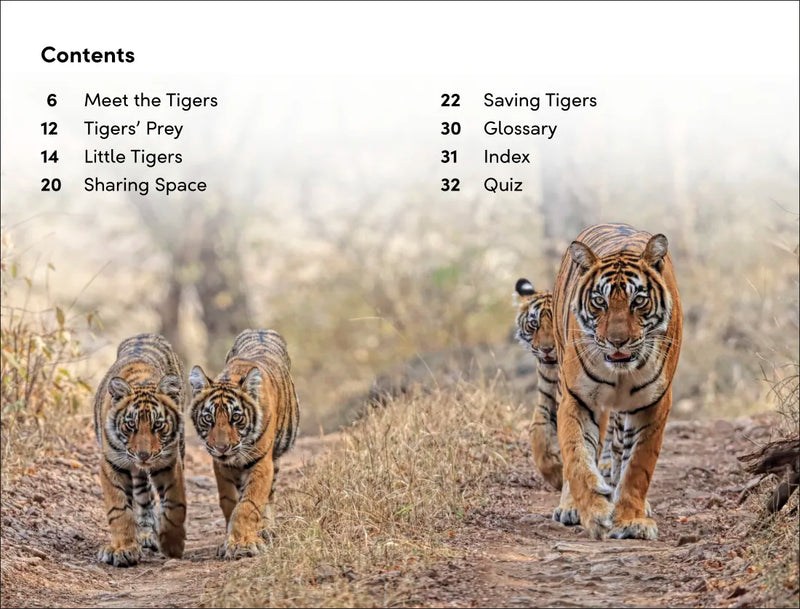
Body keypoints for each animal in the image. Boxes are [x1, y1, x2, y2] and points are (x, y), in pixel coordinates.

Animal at [93, 333, 187, 567]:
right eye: (130, 425)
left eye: (158, 425)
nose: (144, 455)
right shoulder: (112, 464)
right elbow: (119, 510)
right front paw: (124, 549)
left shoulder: (169, 463)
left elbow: (173, 503)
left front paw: (172, 544)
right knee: (144, 498)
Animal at [189, 329, 300, 560]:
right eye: (208, 419)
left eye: (236, 418)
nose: (221, 448)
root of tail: (261, 330)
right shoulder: (221, 465)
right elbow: (230, 502)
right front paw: (230, 540)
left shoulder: (261, 462)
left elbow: (249, 504)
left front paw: (244, 544)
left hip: (275, 460)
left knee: (269, 495)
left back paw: (266, 530)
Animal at [552, 222, 682, 540]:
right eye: (600, 301)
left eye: (639, 301)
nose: (617, 341)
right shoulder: (578, 399)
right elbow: (577, 457)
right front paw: (595, 513)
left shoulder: (654, 404)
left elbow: (638, 466)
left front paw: (631, 520)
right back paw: (570, 507)